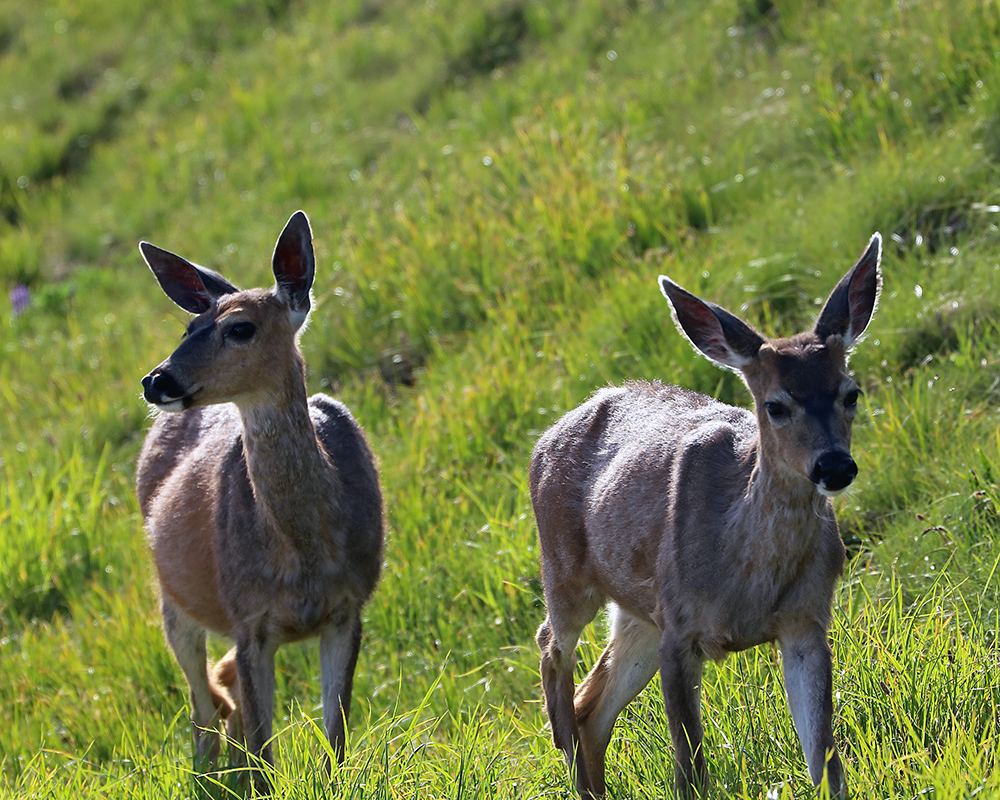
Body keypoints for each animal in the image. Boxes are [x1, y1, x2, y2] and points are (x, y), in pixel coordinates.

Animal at [134, 209, 382, 792]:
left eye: (240, 328)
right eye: (188, 329)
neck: (304, 554)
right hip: (172, 598)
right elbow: (265, 755)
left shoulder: (350, 607)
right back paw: (210, 767)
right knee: (201, 706)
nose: (156, 379)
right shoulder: (248, 617)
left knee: (221, 697)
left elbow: (335, 741)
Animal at [528, 230, 880, 792]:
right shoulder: (680, 629)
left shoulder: (806, 621)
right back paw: (566, 756)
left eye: (851, 393)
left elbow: (825, 759)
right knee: (551, 647)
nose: (834, 465)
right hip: (565, 570)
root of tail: (544, 439)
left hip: (637, 611)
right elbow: (690, 771)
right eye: (776, 405)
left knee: (592, 703)